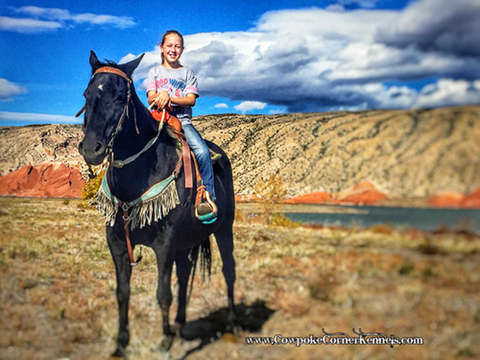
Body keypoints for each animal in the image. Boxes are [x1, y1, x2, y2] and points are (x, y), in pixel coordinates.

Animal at [78, 51, 237, 358]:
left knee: (229, 270)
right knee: (185, 273)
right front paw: (121, 344)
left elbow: (163, 293)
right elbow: (122, 292)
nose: (92, 149)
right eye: (87, 94)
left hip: (225, 229)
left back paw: (232, 325)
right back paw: (180, 324)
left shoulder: (165, 243)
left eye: (120, 97)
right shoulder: (117, 242)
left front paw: (164, 342)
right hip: (186, 242)